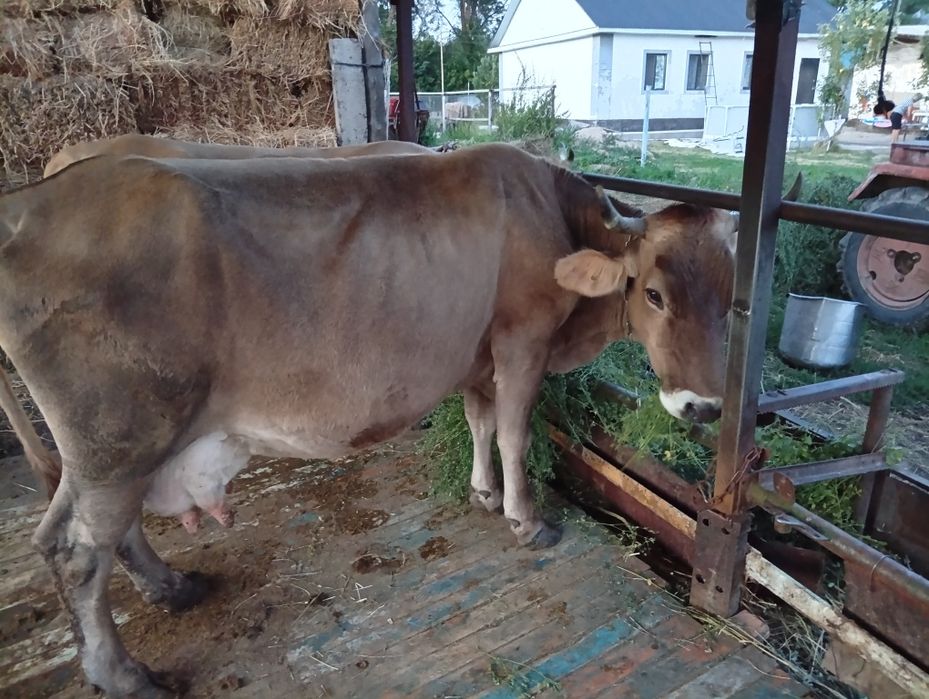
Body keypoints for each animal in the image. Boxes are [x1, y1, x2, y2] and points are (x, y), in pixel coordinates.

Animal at [0, 143, 782, 697]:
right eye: (652, 292)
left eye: (732, 300)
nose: (703, 406)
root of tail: (32, 205)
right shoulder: (522, 338)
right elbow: (514, 430)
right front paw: (526, 518)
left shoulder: (479, 354)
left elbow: (478, 420)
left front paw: (483, 492)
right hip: (118, 435)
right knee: (75, 548)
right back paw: (125, 674)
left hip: (119, 446)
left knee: (101, 531)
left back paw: (172, 589)